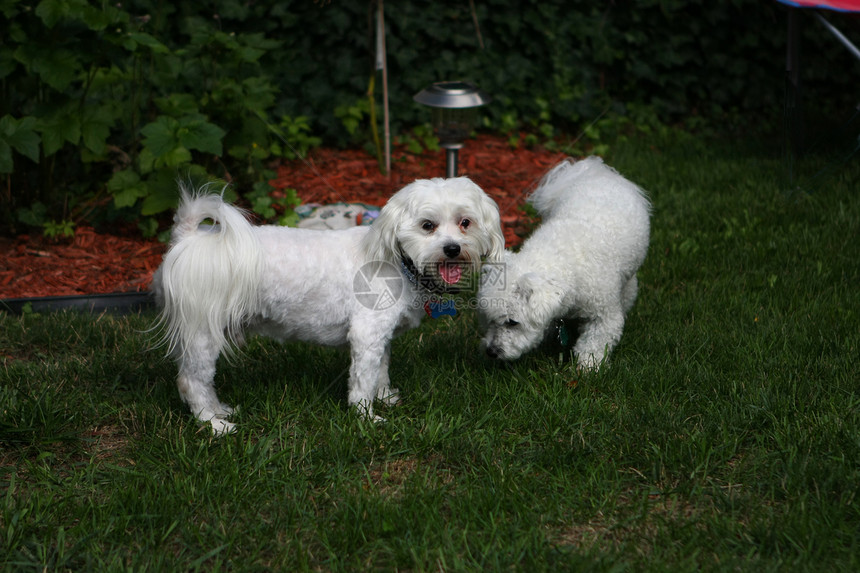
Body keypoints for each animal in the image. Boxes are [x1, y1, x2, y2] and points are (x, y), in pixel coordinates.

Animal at [153, 177, 504, 432]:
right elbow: (363, 379)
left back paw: (220, 410)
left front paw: (385, 397)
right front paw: (366, 417)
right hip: (203, 329)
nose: (452, 248)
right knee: (192, 380)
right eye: (427, 225)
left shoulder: (380, 336)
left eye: (465, 223)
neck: (397, 261)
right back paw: (213, 424)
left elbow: (380, 369)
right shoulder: (366, 333)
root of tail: (187, 237)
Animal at [478, 156, 652, 368]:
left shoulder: (603, 316)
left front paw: (587, 367)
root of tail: (596, 172)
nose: (491, 351)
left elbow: (594, 343)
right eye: (489, 319)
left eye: (512, 322)